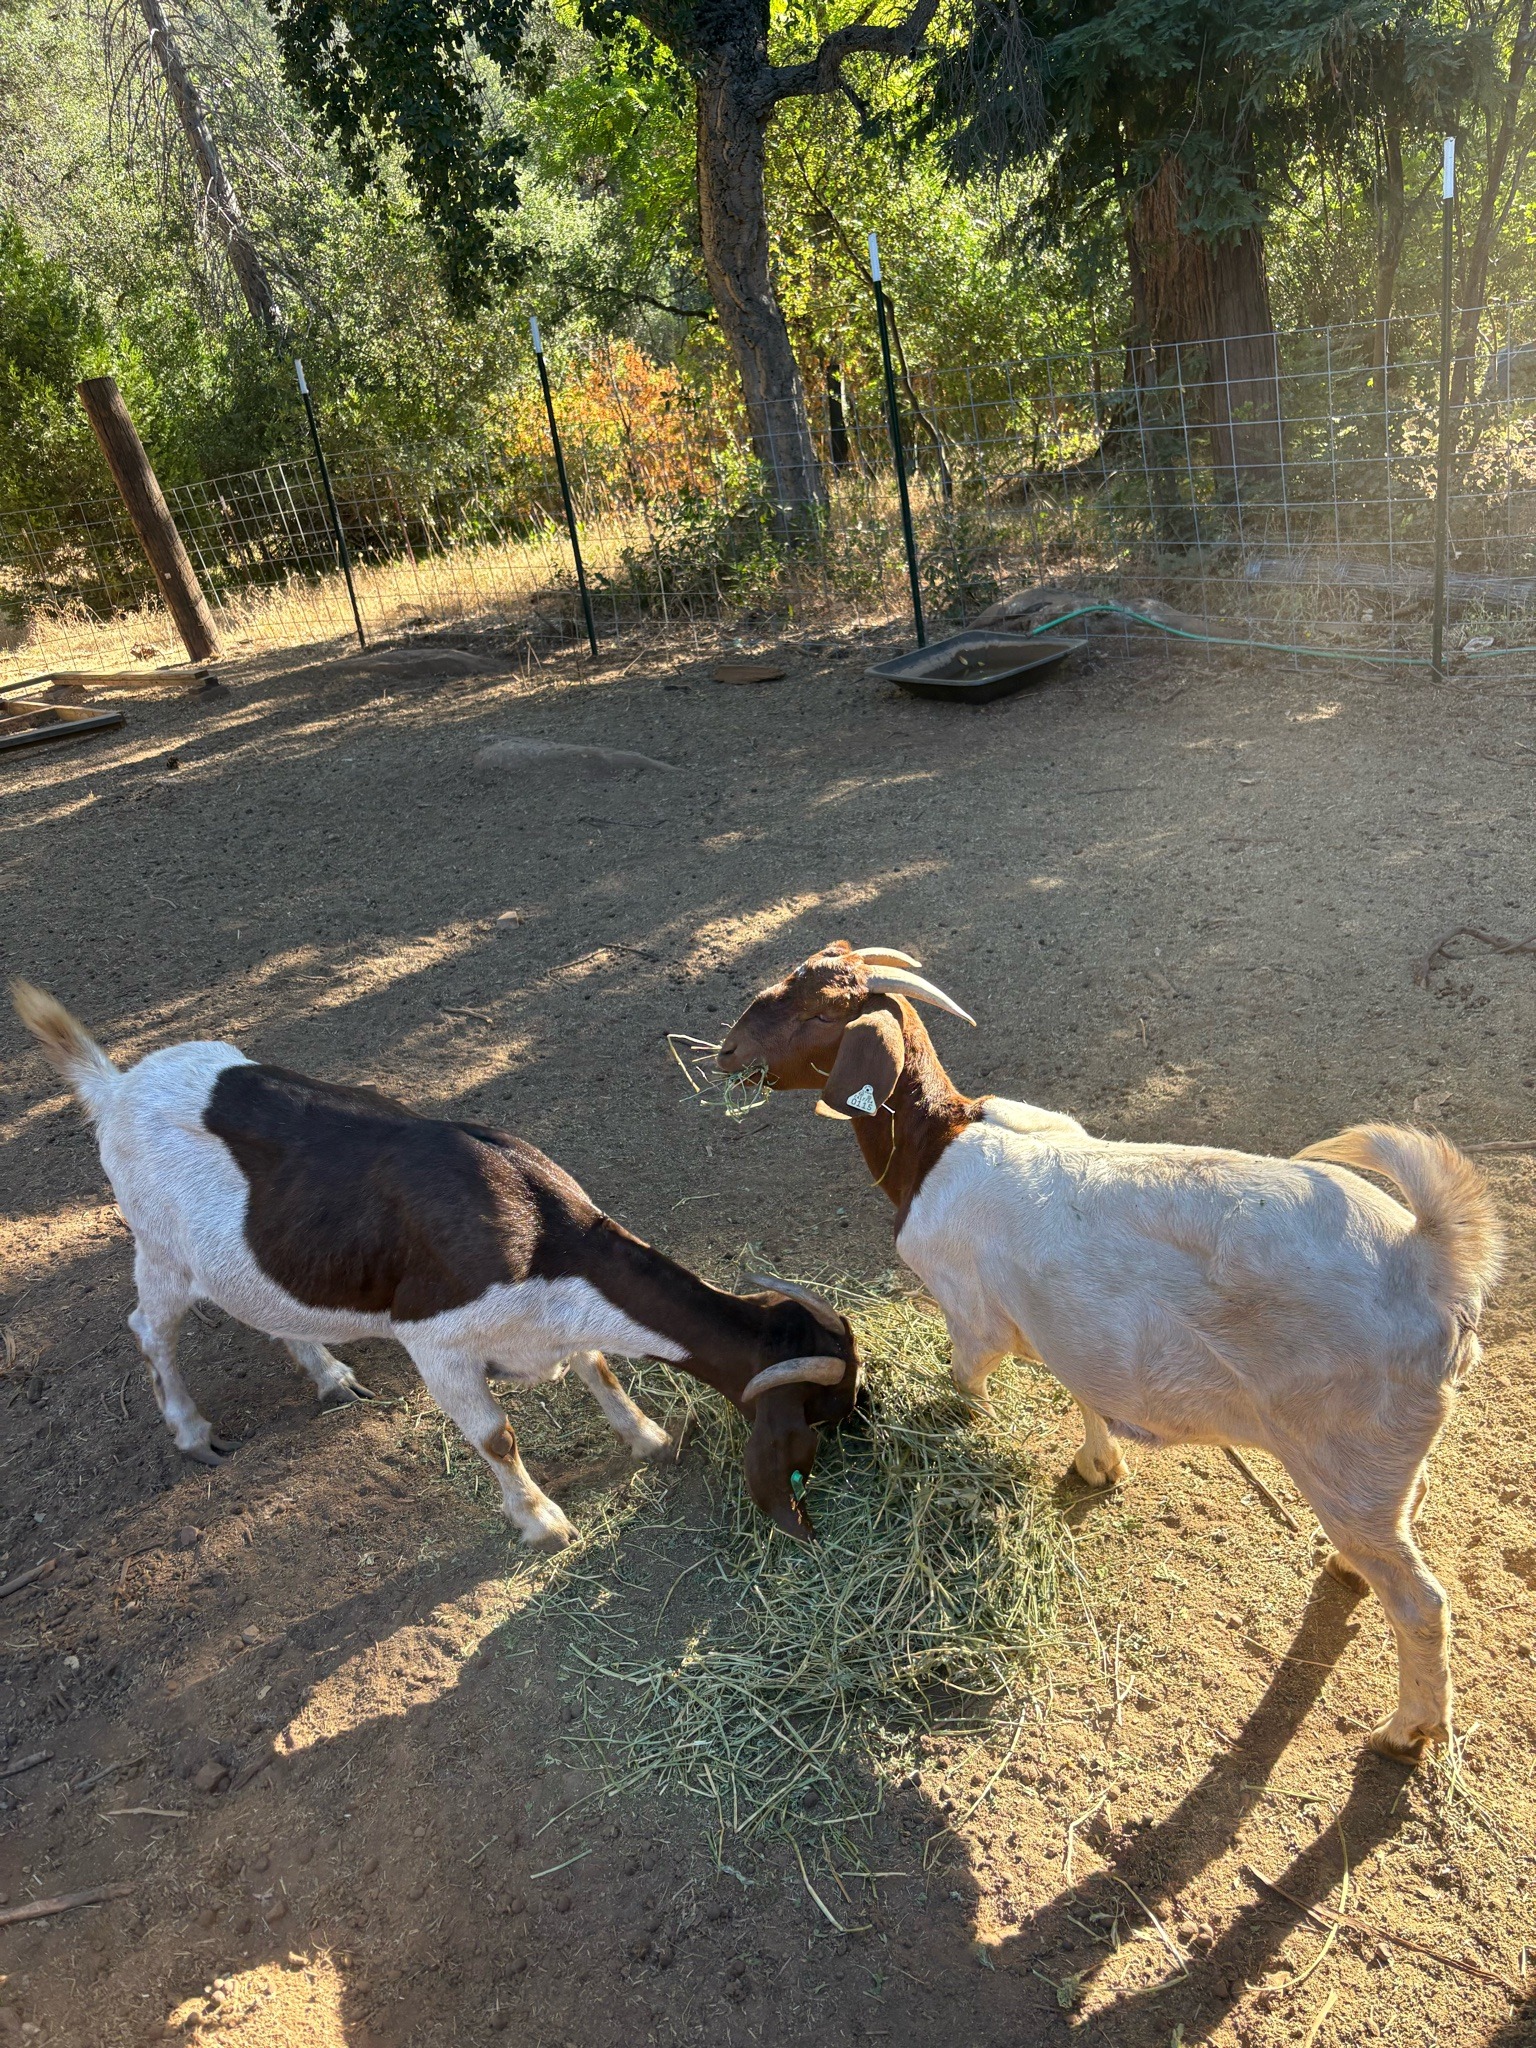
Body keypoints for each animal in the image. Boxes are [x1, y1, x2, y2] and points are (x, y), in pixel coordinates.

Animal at [12, 982, 859, 1546]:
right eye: (820, 1411)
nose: (863, 1421)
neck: (537, 1233)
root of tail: (115, 1085)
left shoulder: (554, 1326)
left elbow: (599, 1368)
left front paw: (647, 1438)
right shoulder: (436, 1343)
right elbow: (496, 1437)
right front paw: (543, 1522)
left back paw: (329, 1376)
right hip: (159, 1250)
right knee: (149, 1329)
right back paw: (194, 1433)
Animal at [716, 941, 1503, 1760]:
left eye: (817, 1014)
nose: (726, 1053)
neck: (935, 1146)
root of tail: (1433, 1262)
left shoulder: (972, 1314)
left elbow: (968, 1380)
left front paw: (981, 1437)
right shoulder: (1067, 1327)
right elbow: (1083, 1390)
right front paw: (1098, 1463)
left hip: (1348, 1453)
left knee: (1420, 1603)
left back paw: (1407, 1729)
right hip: (1382, 1460)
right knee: (1408, 1508)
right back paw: (1352, 1575)